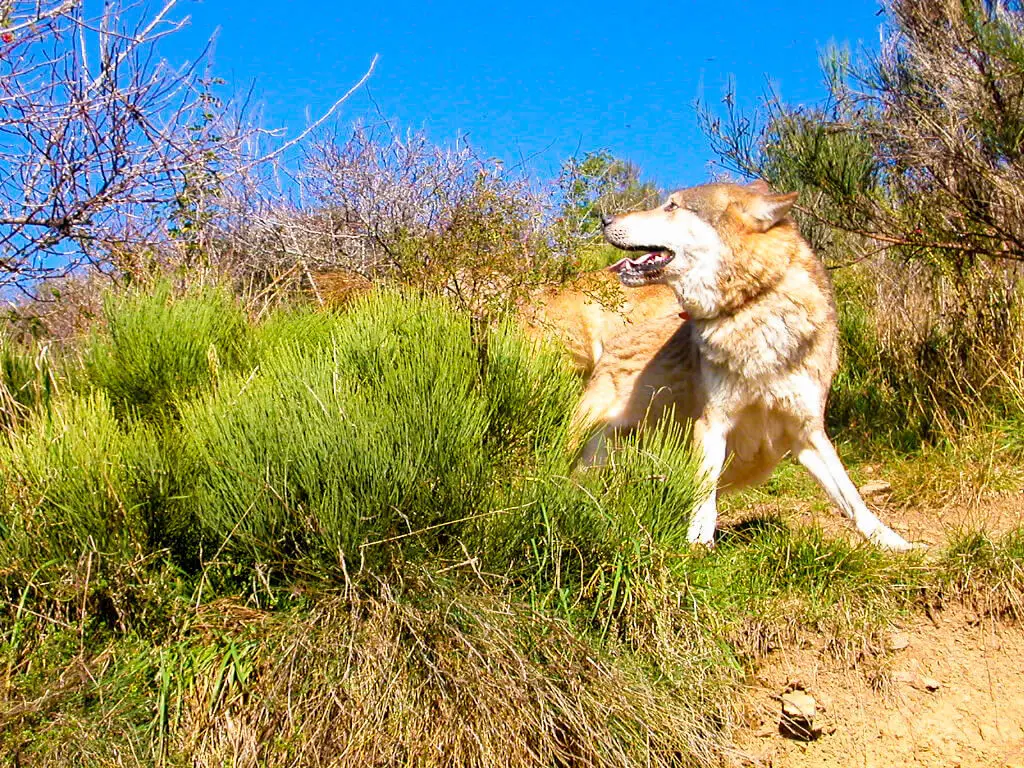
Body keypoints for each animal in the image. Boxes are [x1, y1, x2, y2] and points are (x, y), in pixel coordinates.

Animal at [574, 181, 913, 551]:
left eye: (672, 206)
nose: (605, 218)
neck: (751, 304)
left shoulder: (808, 431)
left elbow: (851, 497)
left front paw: (893, 542)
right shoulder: (713, 424)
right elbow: (704, 491)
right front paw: (698, 542)